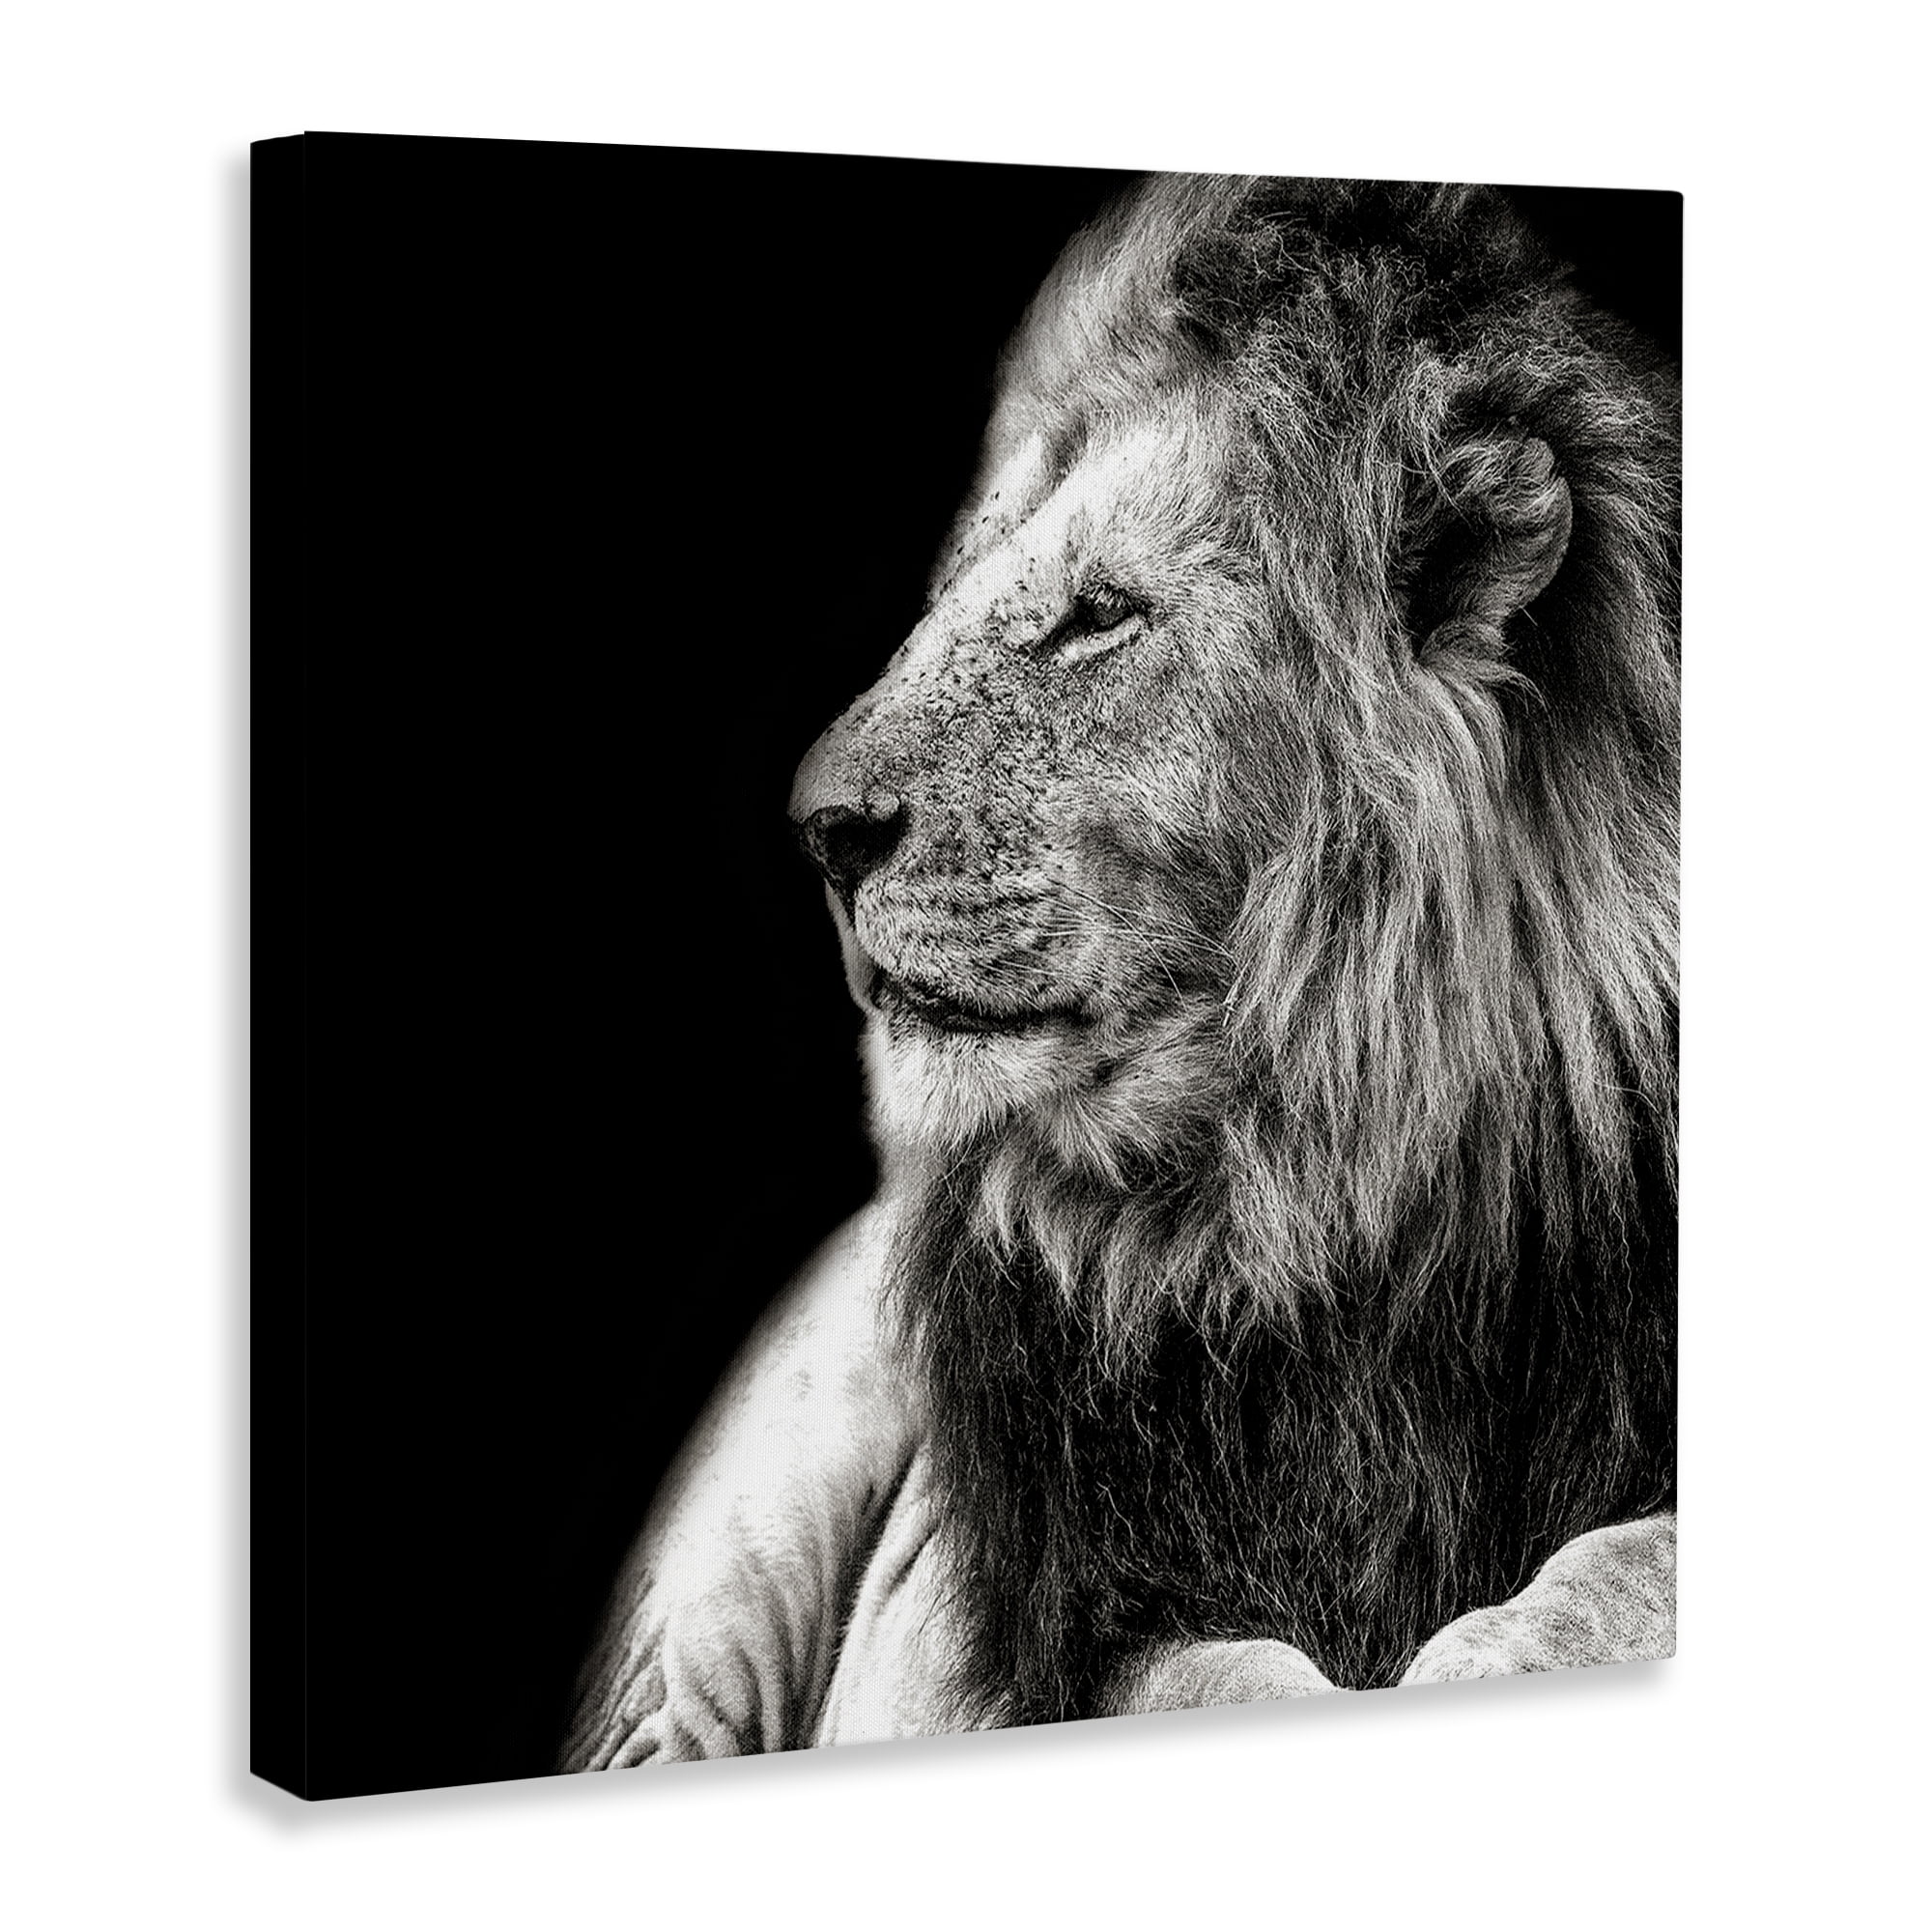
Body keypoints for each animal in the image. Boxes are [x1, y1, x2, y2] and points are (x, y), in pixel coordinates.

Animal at [563, 174, 1678, 1766]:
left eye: (1099, 614)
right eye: (950, 597)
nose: (819, 830)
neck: (1320, 1199)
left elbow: (1630, 1556)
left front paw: (1494, 1650)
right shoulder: (1066, 1613)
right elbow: (1215, 1672)